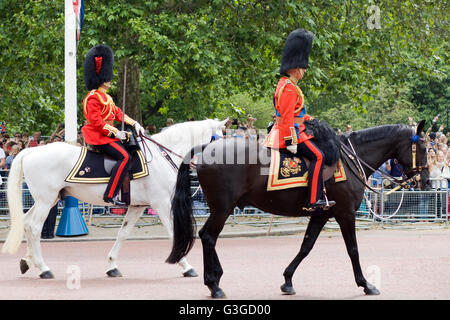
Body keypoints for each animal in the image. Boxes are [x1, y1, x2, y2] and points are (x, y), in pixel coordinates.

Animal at [2, 119, 229, 278]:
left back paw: (27, 262)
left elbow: (123, 233)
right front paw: (186, 266)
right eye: (220, 139)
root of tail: (30, 151)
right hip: (46, 200)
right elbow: (174, 234)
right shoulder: (162, 204)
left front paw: (112, 265)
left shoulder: (137, 206)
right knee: (34, 227)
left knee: (26, 223)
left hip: (46, 200)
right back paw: (43, 268)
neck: (163, 156)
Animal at [166, 119, 428, 298]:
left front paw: (288, 280)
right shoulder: (345, 213)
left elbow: (306, 247)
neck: (352, 160)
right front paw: (365, 283)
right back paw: (214, 284)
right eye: (425, 149)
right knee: (209, 236)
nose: (425, 181)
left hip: (222, 208)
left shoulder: (321, 214)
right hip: (222, 207)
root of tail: (205, 149)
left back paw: (216, 277)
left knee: (206, 235)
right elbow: (353, 249)